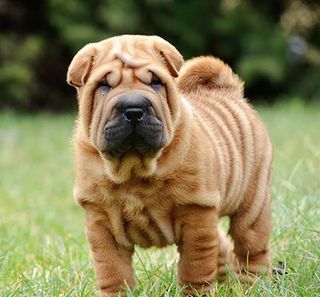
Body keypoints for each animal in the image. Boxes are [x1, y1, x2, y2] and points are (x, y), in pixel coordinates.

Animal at [66, 35, 272, 296]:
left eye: (156, 82)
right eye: (104, 85)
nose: (133, 109)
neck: (134, 169)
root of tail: (229, 91)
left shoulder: (196, 212)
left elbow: (195, 266)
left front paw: (196, 293)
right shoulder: (101, 221)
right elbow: (112, 270)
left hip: (253, 203)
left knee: (251, 246)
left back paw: (254, 284)